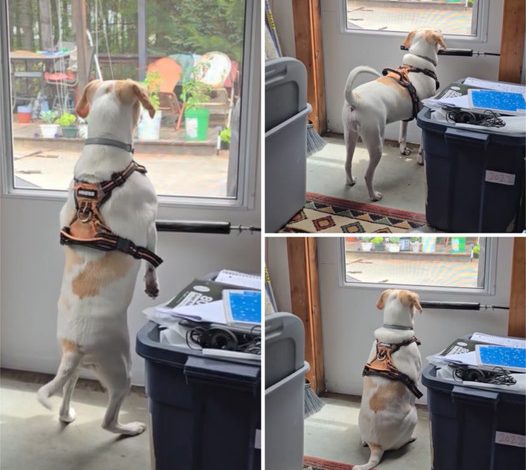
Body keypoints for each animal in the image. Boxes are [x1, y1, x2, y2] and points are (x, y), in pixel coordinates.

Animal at [37, 79, 163, 436]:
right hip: (122, 368)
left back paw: (67, 415)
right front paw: (152, 284)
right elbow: (151, 259)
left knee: (66, 391)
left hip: (81, 368)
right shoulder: (150, 224)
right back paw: (130, 428)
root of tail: (73, 349)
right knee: (108, 420)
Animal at [344, 28, 448, 202]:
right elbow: (422, 145)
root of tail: (355, 99)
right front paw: (420, 159)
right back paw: (374, 196)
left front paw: (404, 150)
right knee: (368, 175)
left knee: (347, 164)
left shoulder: (405, 118)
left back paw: (351, 181)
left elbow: (403, 136)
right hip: (375, 143)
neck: (418, 63)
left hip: (350, 137)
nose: (442, 31)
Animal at [354, 290, 424, 470]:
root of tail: (376, 446)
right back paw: (411, 438)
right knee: (400, 444)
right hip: (413, 415)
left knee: (364, 440)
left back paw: (363, 441)